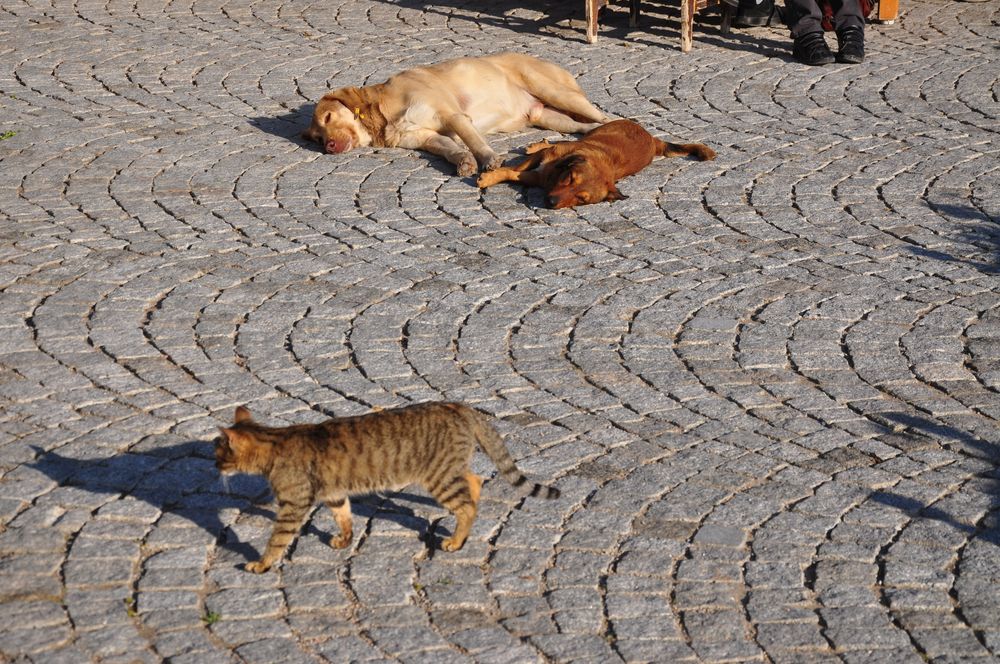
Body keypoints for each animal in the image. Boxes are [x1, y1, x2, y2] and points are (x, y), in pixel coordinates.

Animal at [216, 402, 564, 572]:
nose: (214, 463)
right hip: (450, 471)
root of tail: (456, 405)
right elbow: (344, 517)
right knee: (475, 482)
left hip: (438, 477)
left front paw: (261, 564)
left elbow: (277, 541)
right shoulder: (334, 494)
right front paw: (344, 539)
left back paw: (456, 540)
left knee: (466, 504)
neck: (273, 442)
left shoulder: (292, 506)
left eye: (218, 451)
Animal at [300, 52, 604, 176]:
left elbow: (473, 140)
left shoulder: (452, 116)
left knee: (602, 115)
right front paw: (464, 162)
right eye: (317, 138)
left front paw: (488, 159)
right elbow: (450, 149)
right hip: (545, 115)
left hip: (553, 90)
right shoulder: (427, 138)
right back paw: (592, 133)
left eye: (328, 118)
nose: (328, 146)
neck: (384, 115)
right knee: (581, 126)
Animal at [478, 119, 720, 208]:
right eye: (569, 178)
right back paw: (536, 144)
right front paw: (489, 176)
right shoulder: (543, 161)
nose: (551, 202)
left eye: (581, 200)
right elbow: (512, 168)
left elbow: (512, 173)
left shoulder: (537, 176)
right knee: (562, 139)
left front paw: (492, 177)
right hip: (593, 131)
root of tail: (653, 139)